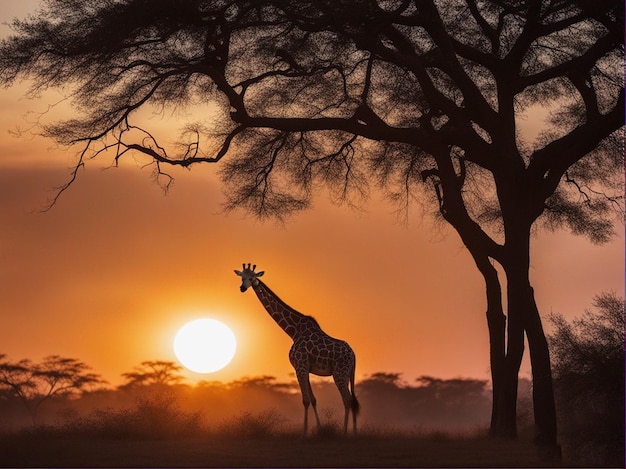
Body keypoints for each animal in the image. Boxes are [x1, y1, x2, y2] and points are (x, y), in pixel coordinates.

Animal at [234, 264, 358, 436]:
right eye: (242, 277)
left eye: (252, 277)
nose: (242, 288)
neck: (293, 331)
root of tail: (353, 355)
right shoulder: (305, 367)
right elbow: (313, 399)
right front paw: (318, 429)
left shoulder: (300, 365)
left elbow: (305, 400)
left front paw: (304, 433)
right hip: (348, 374)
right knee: (352, 400)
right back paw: (354, 432)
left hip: (339, 372)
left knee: (346, 399)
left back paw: (345, 433)